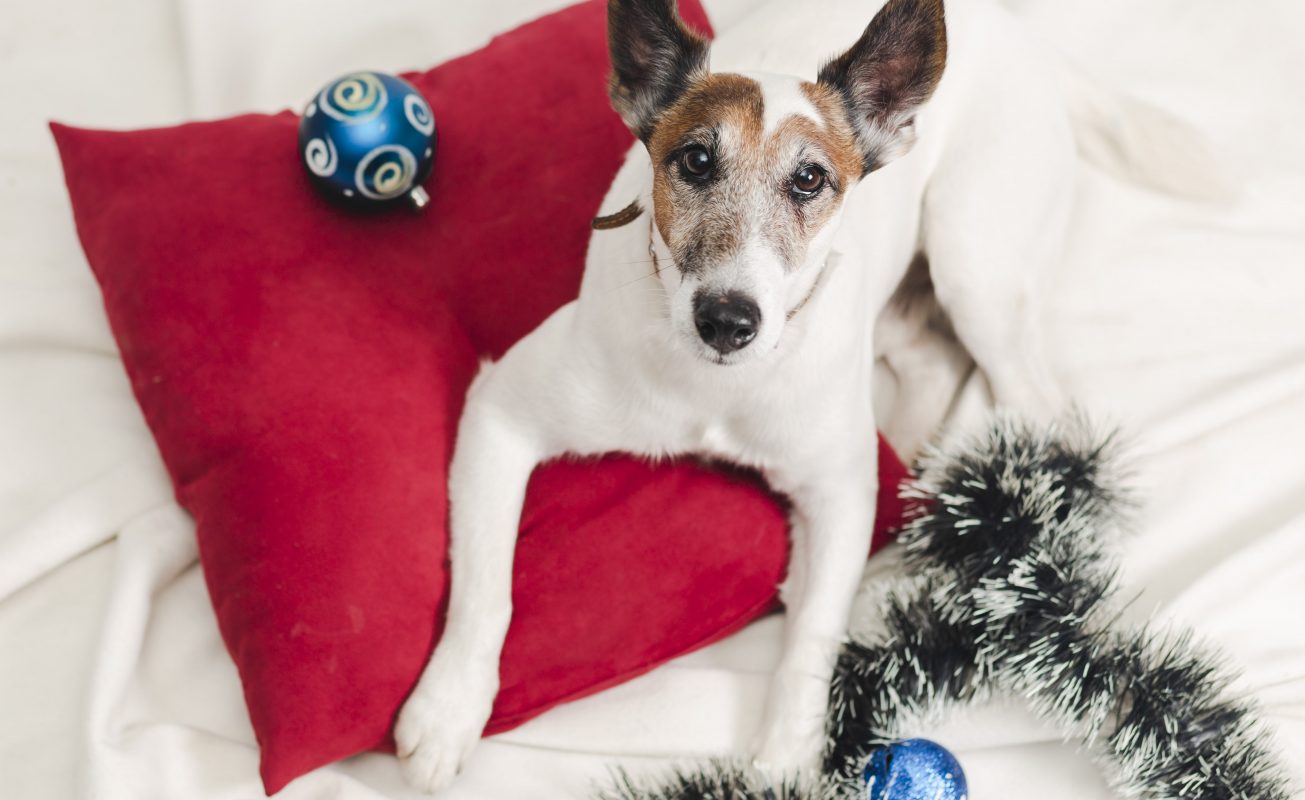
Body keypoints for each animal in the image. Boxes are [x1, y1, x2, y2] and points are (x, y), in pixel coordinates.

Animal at [391, 0, 1216, 788]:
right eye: (694, 160)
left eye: (809, 180)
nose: (727, 320)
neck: (714, 386)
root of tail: (1020, 32)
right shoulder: (500, 414)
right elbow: (484, 589)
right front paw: (448, 713)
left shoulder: (836, 494)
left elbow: (812, 636)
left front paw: (786, 754)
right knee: (926, 357)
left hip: (974, 266)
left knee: (1031, 400)